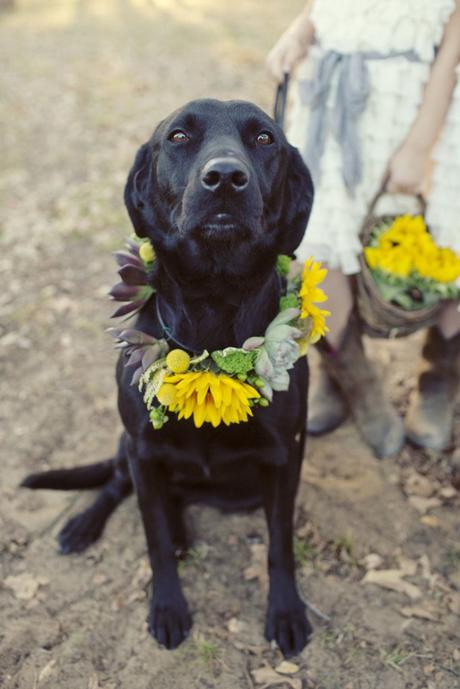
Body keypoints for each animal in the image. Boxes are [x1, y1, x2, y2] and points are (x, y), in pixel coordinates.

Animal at [23, 99, 314, 660]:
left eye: (264, 139)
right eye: (178, 136)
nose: (225, 177)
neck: (213, 313)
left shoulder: (285, 454)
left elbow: (280, 542)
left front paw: (287, 612)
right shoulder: (142, 448)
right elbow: (152, 537)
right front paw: (167, 608)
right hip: (129, 449)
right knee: (119, 484)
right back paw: (84, 525)